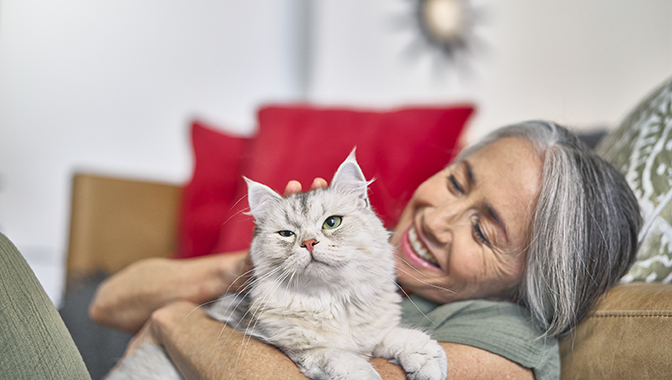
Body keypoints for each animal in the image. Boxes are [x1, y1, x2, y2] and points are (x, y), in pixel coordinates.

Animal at [107, 151, 448, 380]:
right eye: (287, 234)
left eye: (332, 223)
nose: (308, 243)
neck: (333, 301)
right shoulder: (297, 350)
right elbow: (346, 361)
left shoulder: (374, 335)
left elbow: (404, 337)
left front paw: (427, 363)